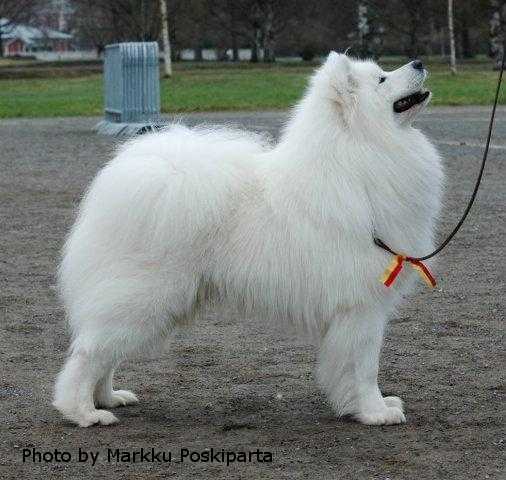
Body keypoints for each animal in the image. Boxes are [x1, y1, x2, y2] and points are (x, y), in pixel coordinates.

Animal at [53, 53, 442, 428]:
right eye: (382, 79)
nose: (420, 61)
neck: (360, 153)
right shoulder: (361, 307)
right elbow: (364, 369)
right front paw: (375, 412)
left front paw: (369, 407)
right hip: (144, 299)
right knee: (87, 355)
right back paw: (84, 413)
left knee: (104, 354)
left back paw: (108, 398)